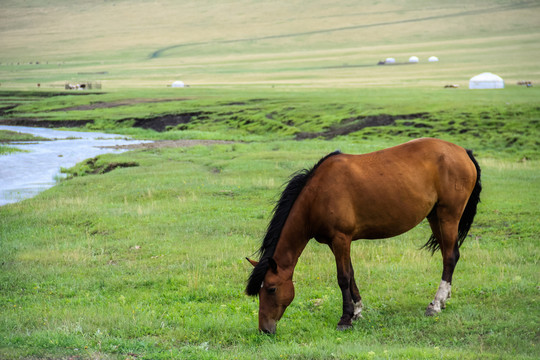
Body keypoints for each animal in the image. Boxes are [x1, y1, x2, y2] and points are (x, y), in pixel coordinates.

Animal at [245, 137, 480, 332]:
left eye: (272, 289)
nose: (265, 329)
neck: (318, 194)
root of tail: (463, 151)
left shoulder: (341, 238)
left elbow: (343, 278)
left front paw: (345, 319)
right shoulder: (336, 242)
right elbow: (351, 274)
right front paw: (356, 312)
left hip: (448, 215)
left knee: (450, 257)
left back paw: (436, 304)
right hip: (435, 217)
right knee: (449, 254)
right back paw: (444, 299)